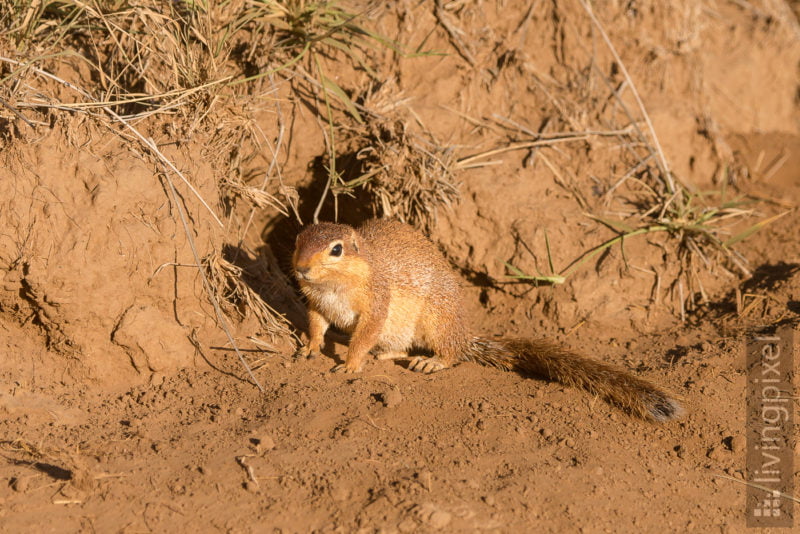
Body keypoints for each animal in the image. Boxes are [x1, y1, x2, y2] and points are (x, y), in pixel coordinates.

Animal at [292, 218, 680, 422]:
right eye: (297, 239)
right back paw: (389, 354)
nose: (301, 268)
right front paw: (309, 347)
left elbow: (363, 335)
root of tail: (465, 335)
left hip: (437, 320)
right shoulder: (316, 304)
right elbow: (316, 325)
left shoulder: (377, 303)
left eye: (337, 249)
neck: (334, 286)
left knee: (450, 353)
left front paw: (350, 364)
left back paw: (429, 362)